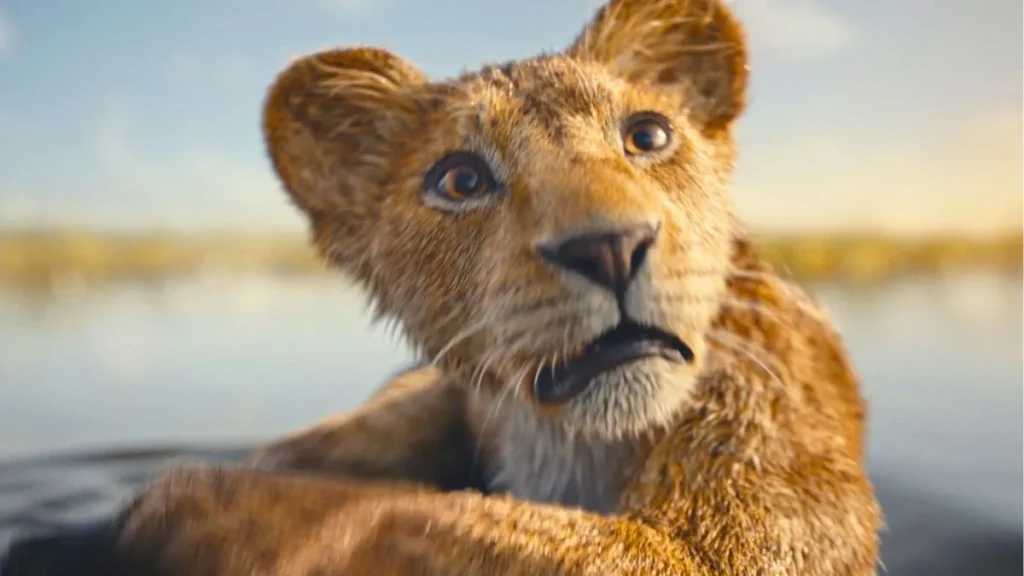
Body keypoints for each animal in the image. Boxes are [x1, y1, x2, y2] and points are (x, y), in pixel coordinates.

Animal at [1, 0, 882, 574]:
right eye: (461, 179)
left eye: (648, 135)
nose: (610, 247)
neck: (568, 446)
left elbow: (404, 515)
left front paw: (202, 508)